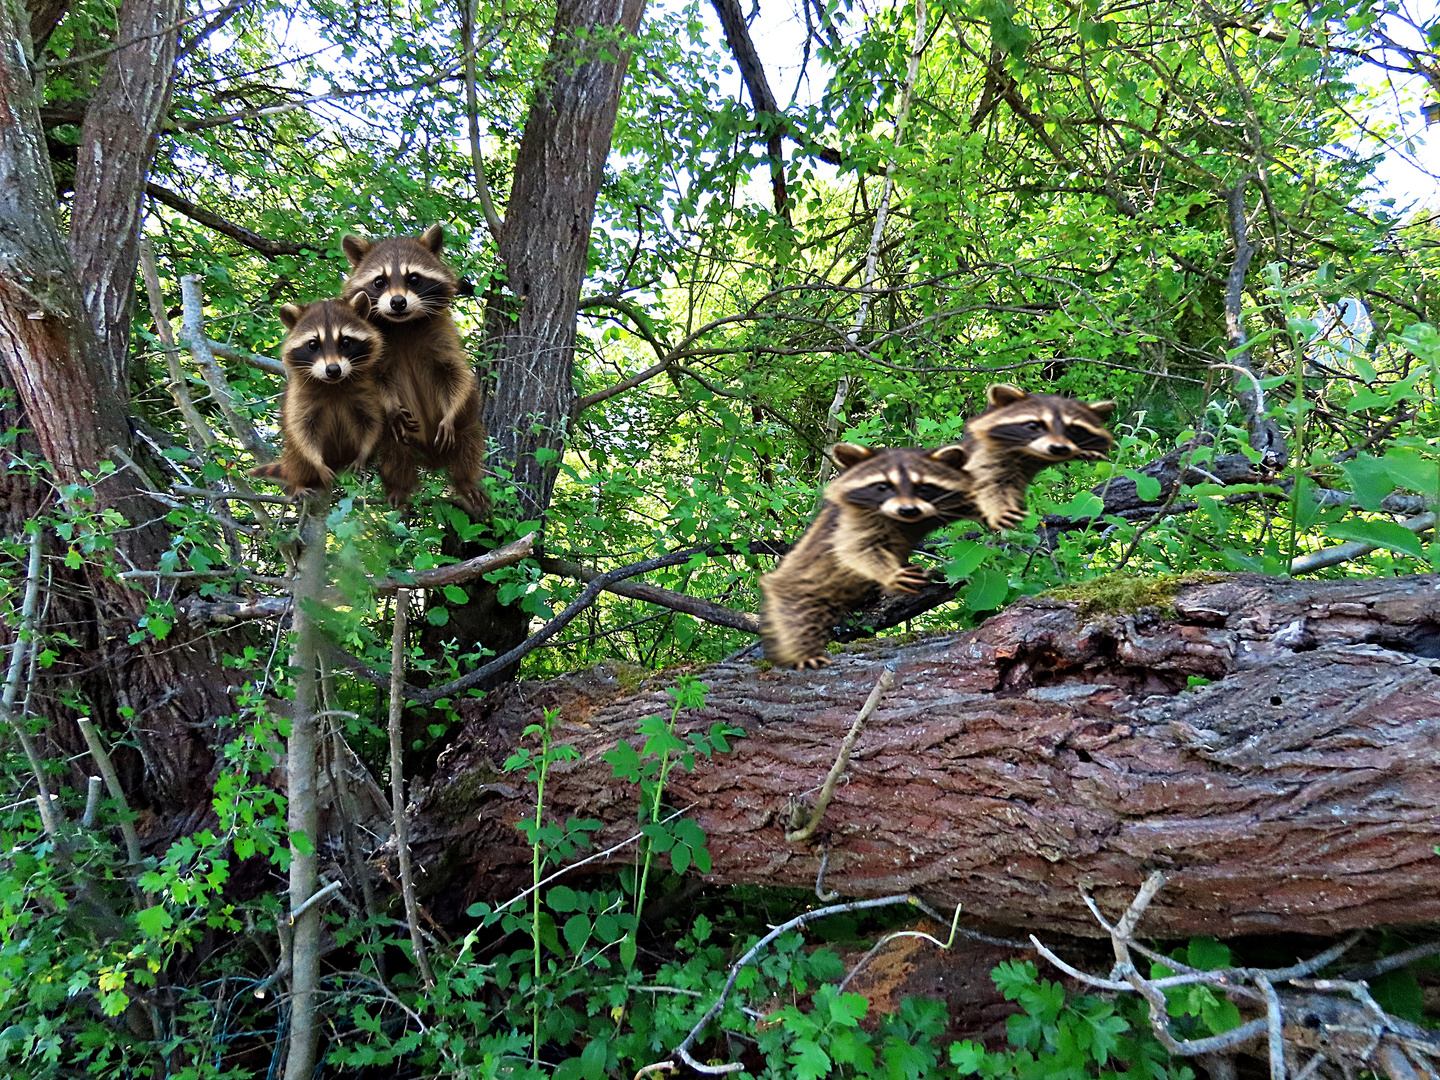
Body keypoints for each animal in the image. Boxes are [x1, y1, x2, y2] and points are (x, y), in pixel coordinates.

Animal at [250, 293, 388, 501]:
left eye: (346, 342)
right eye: (313, 344)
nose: (333, 370)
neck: (333, 385)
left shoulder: (368, 391)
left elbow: (373, 422)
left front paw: (363, 454)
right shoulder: (299, 398)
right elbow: (302, 431)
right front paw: (317, 462)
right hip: (293, 457)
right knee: (299, 461)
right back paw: (300, 482)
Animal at [339, 224, 486, 515]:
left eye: (414, 279)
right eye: (380, 281)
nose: (398, 302)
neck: (404, 325)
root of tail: (433, 459)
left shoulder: (443, 339)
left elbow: (456, 376)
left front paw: (449, 414)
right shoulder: (375, 349)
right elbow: (376, 381)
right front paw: (391, 407)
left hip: (467, 426)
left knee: (469, 440)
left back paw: (465, 481)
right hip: (395, 439)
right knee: (393, 451)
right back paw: (399, 488)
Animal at [760, 446, 973, 668]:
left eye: (923, 487)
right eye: (883, 486)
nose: (908, 510)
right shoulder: (851, 522)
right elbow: (855, 548)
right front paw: (890, 573)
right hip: (799, 596)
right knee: (798, 623)